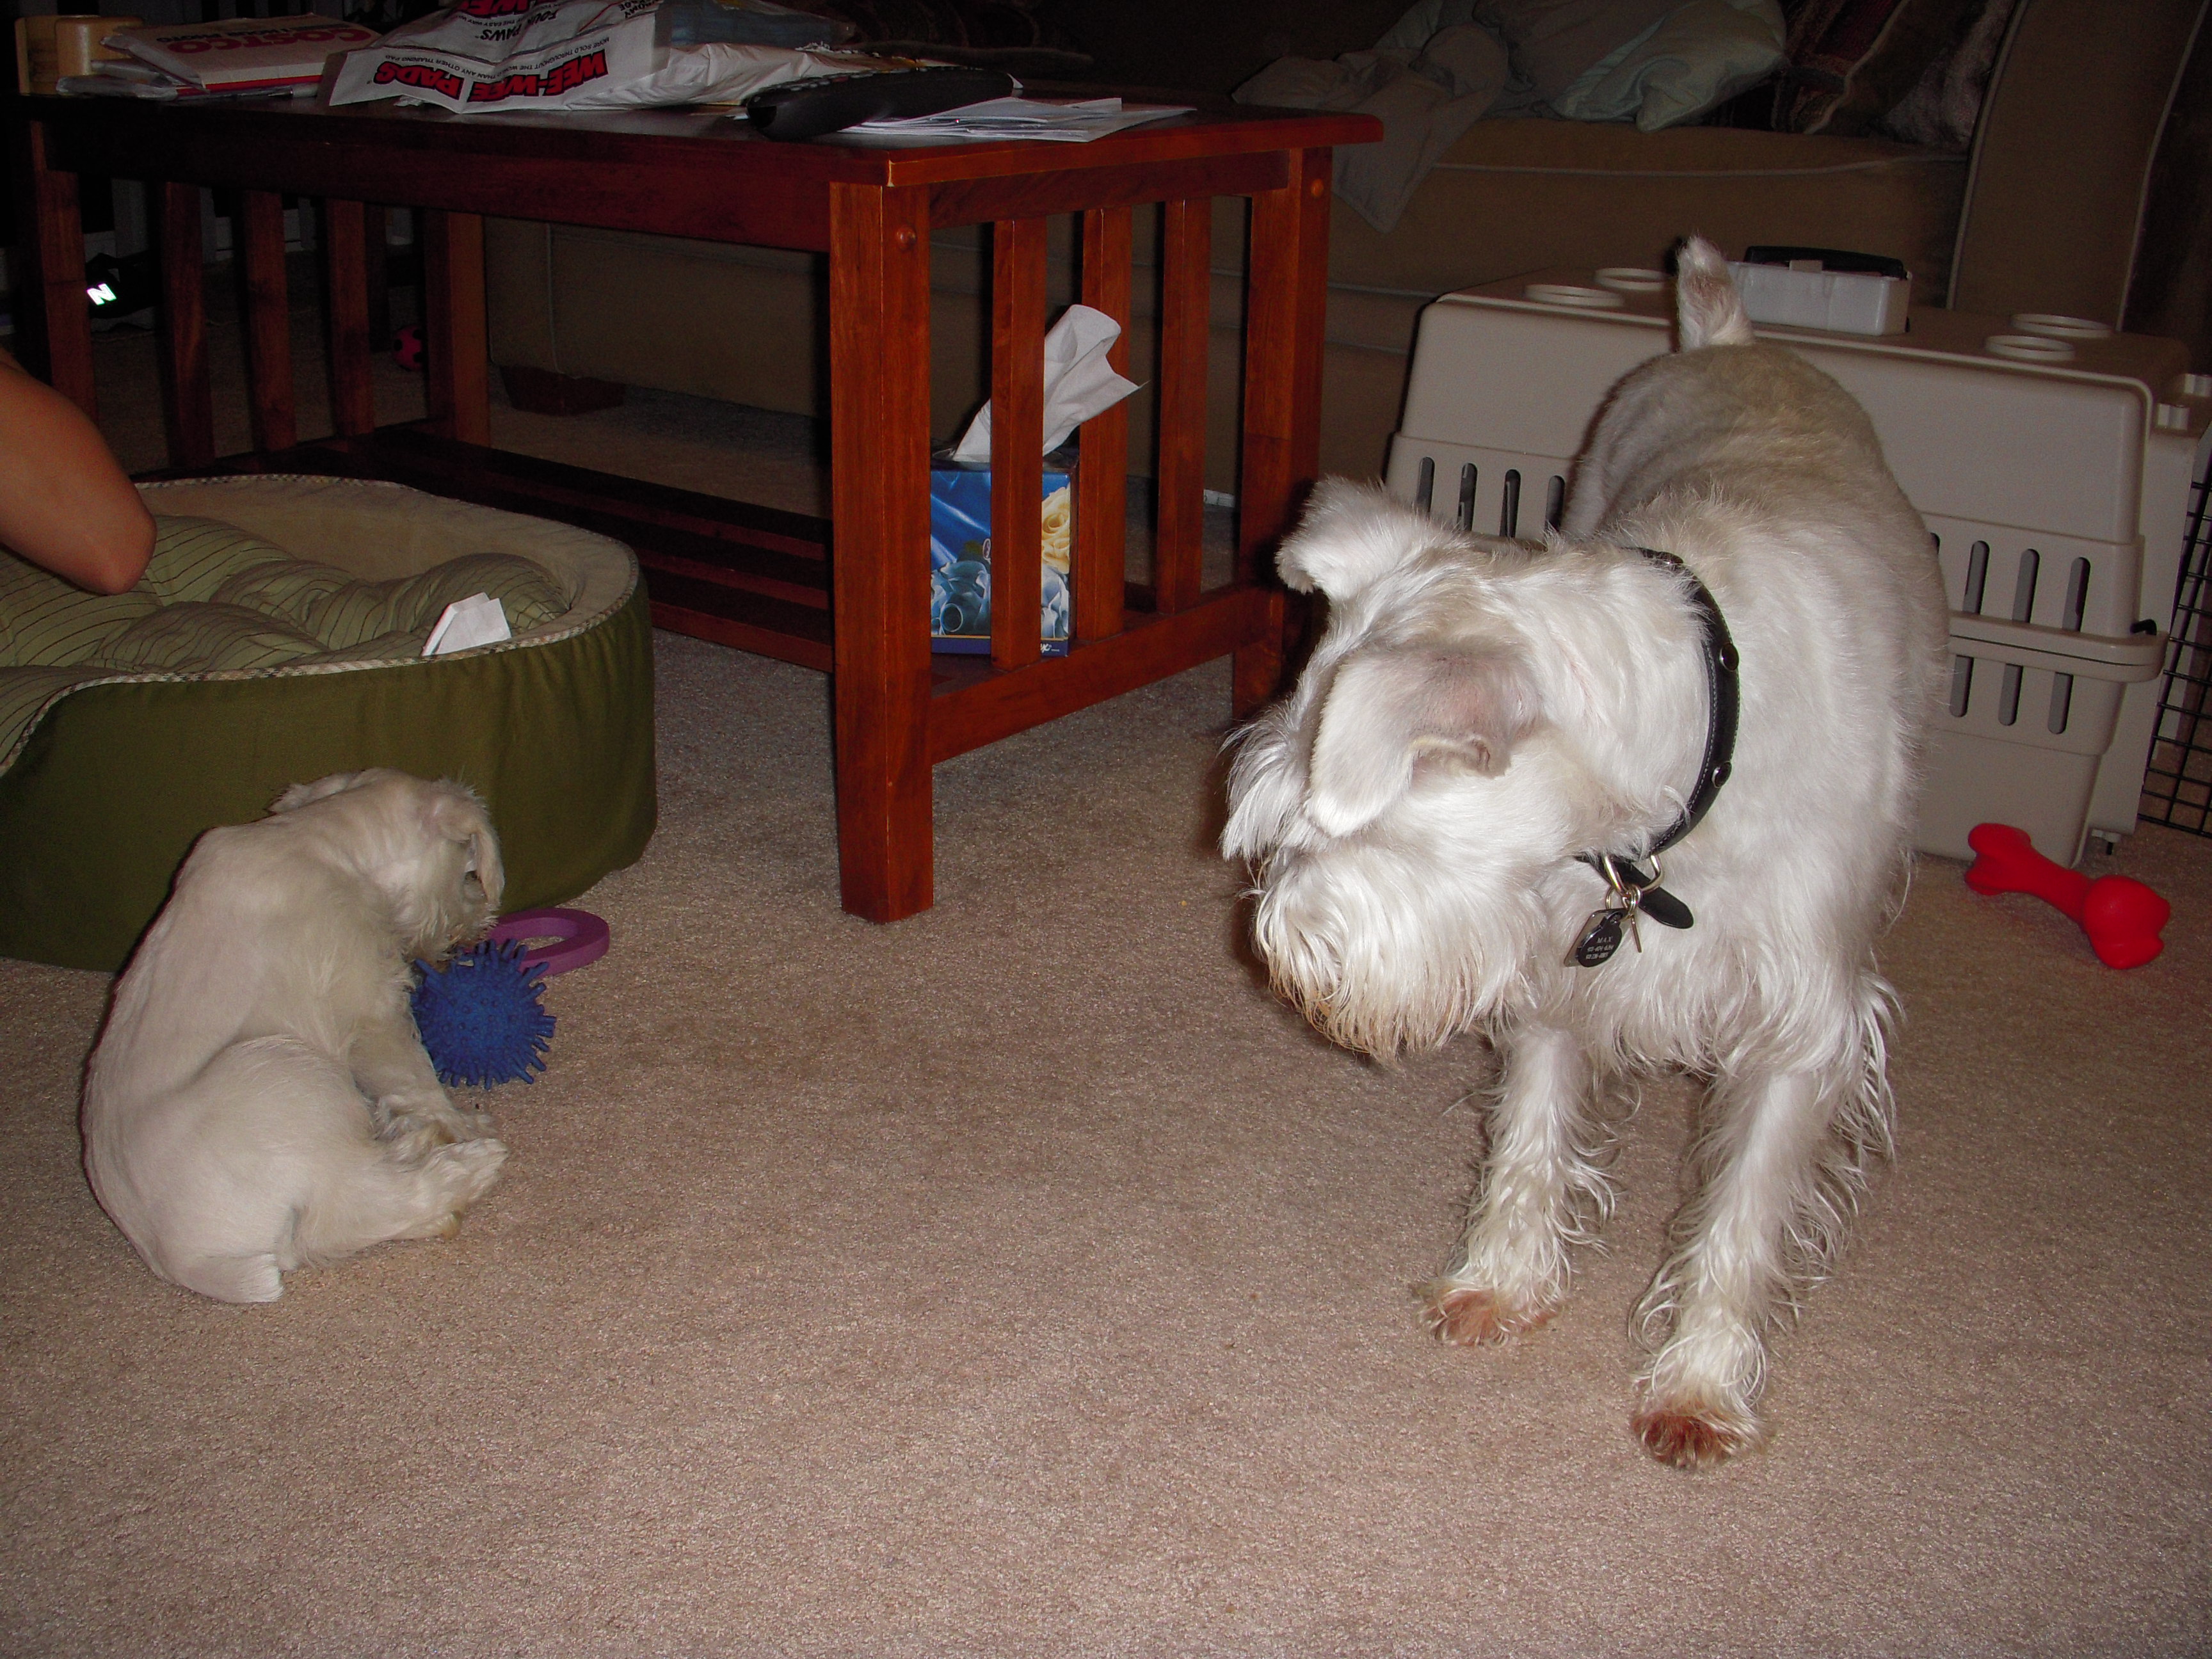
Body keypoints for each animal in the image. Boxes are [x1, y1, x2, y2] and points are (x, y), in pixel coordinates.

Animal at [82, 769, 511, 1303]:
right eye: (469, 873)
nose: (477, 928)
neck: (322, 840)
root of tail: (190, 1263)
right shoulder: (371, 1006)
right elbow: (414, 1077)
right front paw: (461, 1124)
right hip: (291, 1074)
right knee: (346, 1208)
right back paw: (466, 1167)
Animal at [1222, 238, 1948, 1467]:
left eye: (1351, 826)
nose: (1281, 962)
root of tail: (1730, 339)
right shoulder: (1559, 957)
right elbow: (1532, 1130)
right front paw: (1499, 1282)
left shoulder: (1800, 1026)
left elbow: (1744, 1213)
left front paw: (1698, 1384)